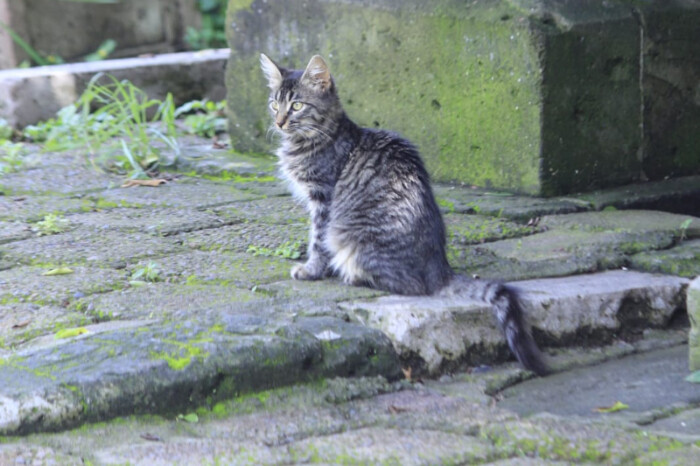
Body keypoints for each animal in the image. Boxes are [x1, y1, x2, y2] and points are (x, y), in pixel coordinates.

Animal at [262, 54, 548, 374]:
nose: (279, 122)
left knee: (409, 285)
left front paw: (311, 270)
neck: (319, 138)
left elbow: (318, 241)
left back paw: (352, 276)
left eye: (297, 106)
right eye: (274, 104)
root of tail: (440, 268)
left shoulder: (324, 198)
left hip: (354, 238)